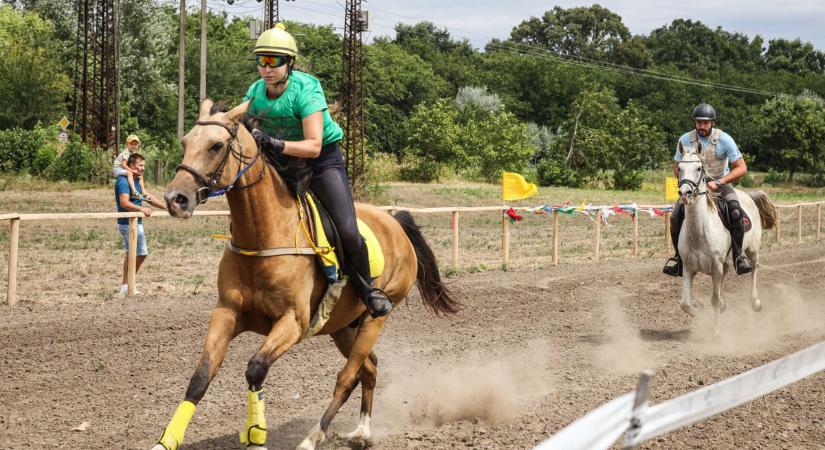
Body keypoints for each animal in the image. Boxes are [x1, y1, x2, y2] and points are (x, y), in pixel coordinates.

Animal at [148, 99, 458, 450]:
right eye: (185, 142)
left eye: (216, 145)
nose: (175, 199)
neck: (263, 235)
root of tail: (397, 224)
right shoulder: (226, 313)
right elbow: (201, 377)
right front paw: (166, 441)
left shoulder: (292, 322)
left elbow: (255, 369)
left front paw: (256, 432)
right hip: (343, 326)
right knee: (369, 368)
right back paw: (362, 431)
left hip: (375, 318)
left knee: (347, 376)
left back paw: (313, 436)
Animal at [672, 142, 776, 332]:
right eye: (680, 168)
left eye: (699, 168)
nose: (685, 193)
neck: (699, 232)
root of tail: (748, 196)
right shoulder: (688, 268)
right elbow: (685, 304)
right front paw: (699, 315)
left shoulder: (716, 268)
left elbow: (714, 300)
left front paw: (716, 332)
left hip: (752, 249)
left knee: (755, 268)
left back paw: (755, 302)